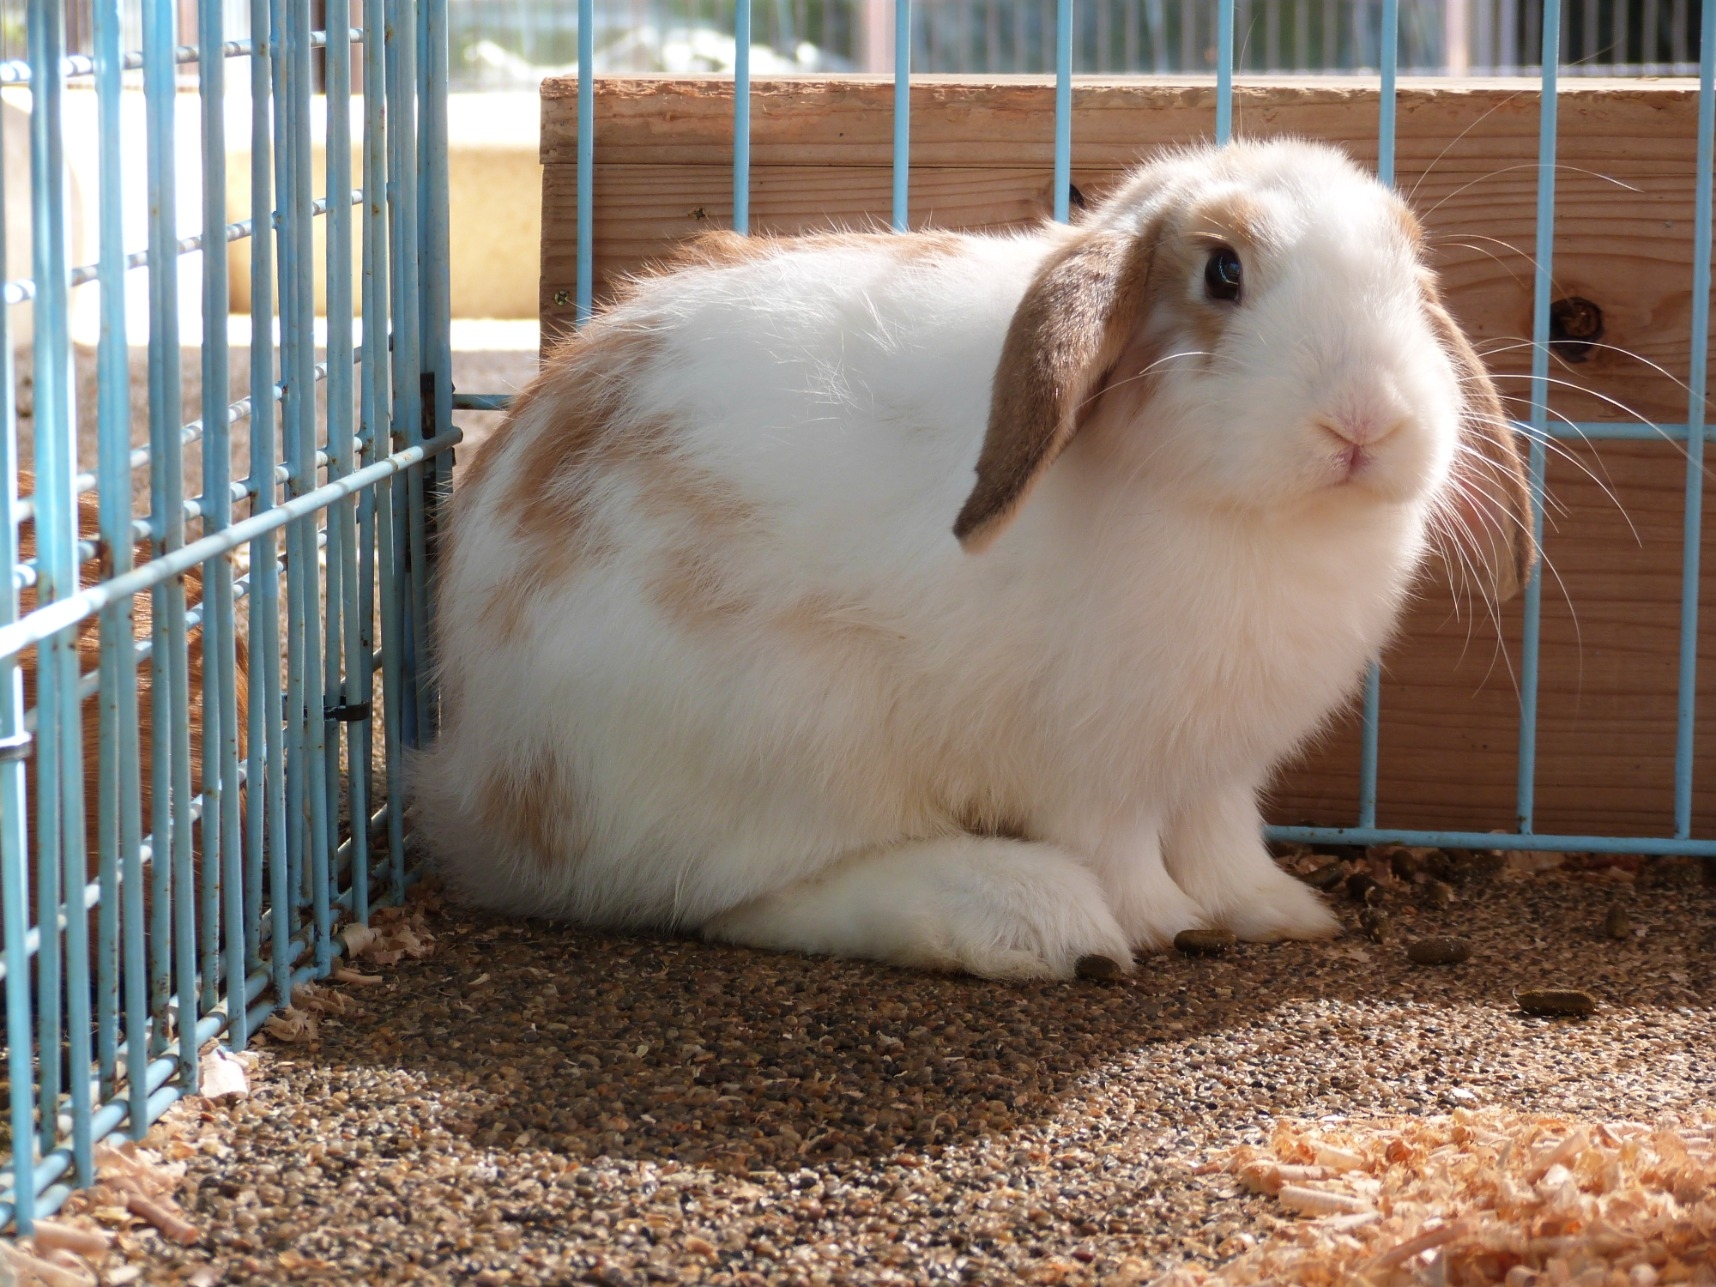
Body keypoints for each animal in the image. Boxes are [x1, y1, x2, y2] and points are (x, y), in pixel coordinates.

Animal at [418, 138, 1544, 974]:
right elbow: (1121, 852)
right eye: (1223, 272)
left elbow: (1227, 844)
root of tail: (473, 776)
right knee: (726, 893)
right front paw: (1162, 924)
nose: (1366, 422)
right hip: (785, 735)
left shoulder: (1217, 771)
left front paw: (1278, 912)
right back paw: (1027, 917)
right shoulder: (1092, 766)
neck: (1260, 523)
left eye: (1409, 272)